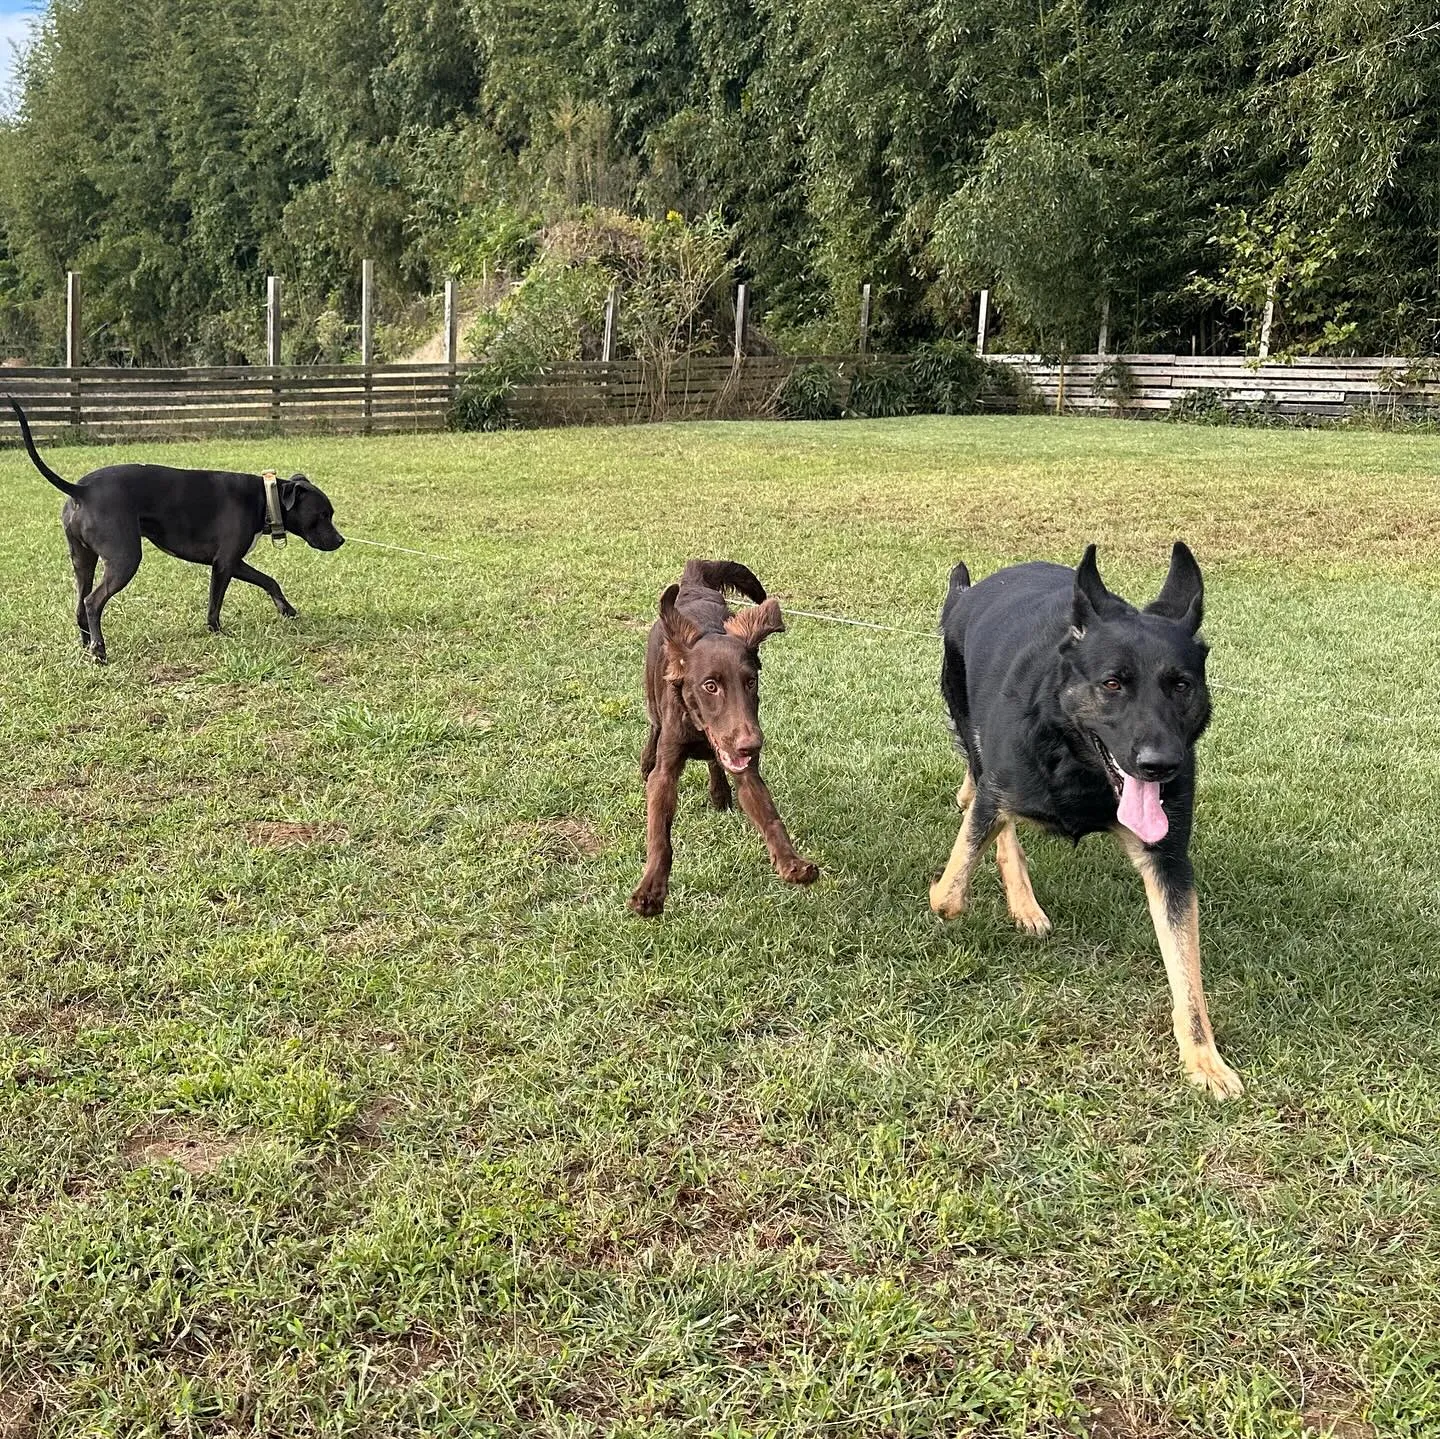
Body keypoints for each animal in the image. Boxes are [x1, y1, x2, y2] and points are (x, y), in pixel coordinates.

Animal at [13, 397, 342, 659]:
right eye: (323, 515)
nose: (340, 541)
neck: (265, 497)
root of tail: (81, 490)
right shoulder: (225, 564)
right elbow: (215, 602)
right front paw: (216, 631)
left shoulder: (233, 562)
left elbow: (269, 581)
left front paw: (286, 610)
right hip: (124, 560)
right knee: (93, 602)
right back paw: (100, 651)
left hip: (84, 562)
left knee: (81, 604)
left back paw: (88, 645)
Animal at [627, 556, 817, 916]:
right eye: (710, 686)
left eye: (751, 682)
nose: (753, 744)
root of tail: (692, 582)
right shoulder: (667, 768)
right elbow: (659, 833)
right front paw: (651, 889)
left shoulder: (747, 769)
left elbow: (770, 817)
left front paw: (791, 862)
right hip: (653, 698)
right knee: (654, 728)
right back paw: (646, 761)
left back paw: (719, 793)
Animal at [933, 544, 1238, 1094]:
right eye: (1112, 684)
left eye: (1180, 686)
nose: (1161, 765)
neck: (1083, 767)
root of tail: (973, 591)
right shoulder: (998, 789)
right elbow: (949, 890)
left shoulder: (1169, 863)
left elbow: (1187, 971)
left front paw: (1204, 1059)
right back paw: (1022, 899)